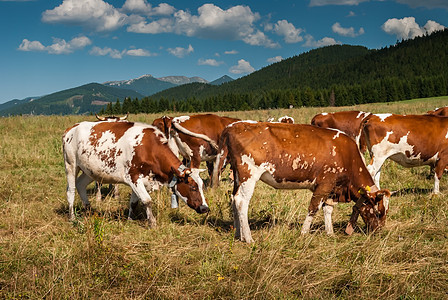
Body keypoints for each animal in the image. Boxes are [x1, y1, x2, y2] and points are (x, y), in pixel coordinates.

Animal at [61, 119, 210, 225]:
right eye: (193, 187)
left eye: (202, 186)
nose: (205, 208)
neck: (149, 148)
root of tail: (72, 128)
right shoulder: (133, 177)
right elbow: (147, 200)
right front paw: (152, 223)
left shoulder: (140, 180)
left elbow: (134, 202)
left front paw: (130, 220)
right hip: (71, 165)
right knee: (71, 190)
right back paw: (72, 217)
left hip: (91, 170)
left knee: (80, 185)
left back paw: (88, 210)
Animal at [212, 120, 390, 243]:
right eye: (378, 212)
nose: (379, 232)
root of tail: (232, 126)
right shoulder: (325, 184)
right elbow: (314, 208)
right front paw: (304, 233)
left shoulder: (331, 189)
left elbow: (327, 209)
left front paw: (330, 232)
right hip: (248, 175)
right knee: (241, 202)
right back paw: (248, 238)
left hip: (237, 177)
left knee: (233, 199)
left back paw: (238, 234)